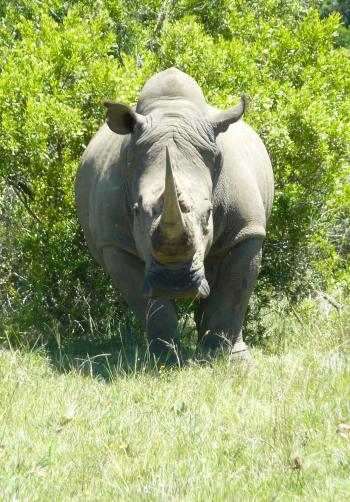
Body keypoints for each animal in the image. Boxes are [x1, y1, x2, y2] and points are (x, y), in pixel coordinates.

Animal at [76, 68, 274, 360]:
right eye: (136, 210)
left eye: (210, 212)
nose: (175, 283)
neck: (173, 113)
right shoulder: (115, 242)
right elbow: (150, 306)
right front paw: (165, 359)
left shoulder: (246, 231)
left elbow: (234, 295)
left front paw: (231, 361)